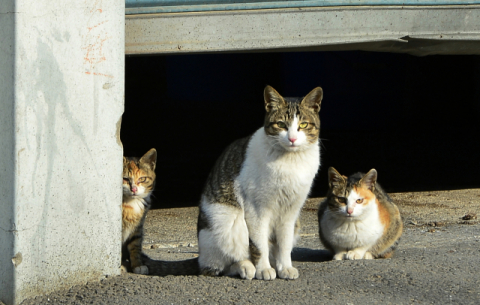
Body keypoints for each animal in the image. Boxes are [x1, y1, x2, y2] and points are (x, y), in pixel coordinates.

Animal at [197, 84, 324, 280]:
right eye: (281, 125)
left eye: (303, 125)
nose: (292, 139)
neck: (290, 161)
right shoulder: (257, 209)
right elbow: (259, 244)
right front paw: (263, 269)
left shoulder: (290, 212)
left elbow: (284, 244)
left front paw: (285, 268)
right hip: (227, 221)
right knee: (221, 265)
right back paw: (246, 268)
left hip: (296, 224)